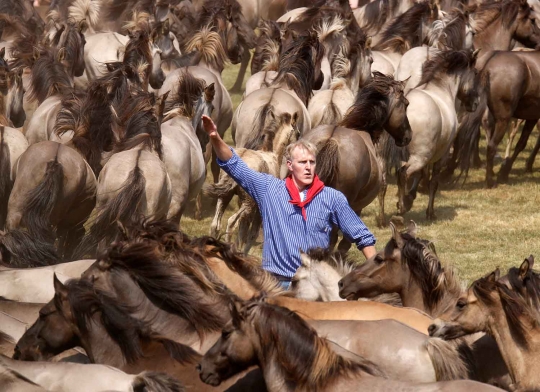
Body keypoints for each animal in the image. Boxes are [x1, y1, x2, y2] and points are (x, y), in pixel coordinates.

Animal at [392, 48, 480, 219]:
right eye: (475, 74)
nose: (475, 104)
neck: (441, 90)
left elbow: (421, 174)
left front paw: (410, 198)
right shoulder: (441, 154)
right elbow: (433, 181)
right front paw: (429, 212)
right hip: (419, 157)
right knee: (404, 173)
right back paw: (402, 209)